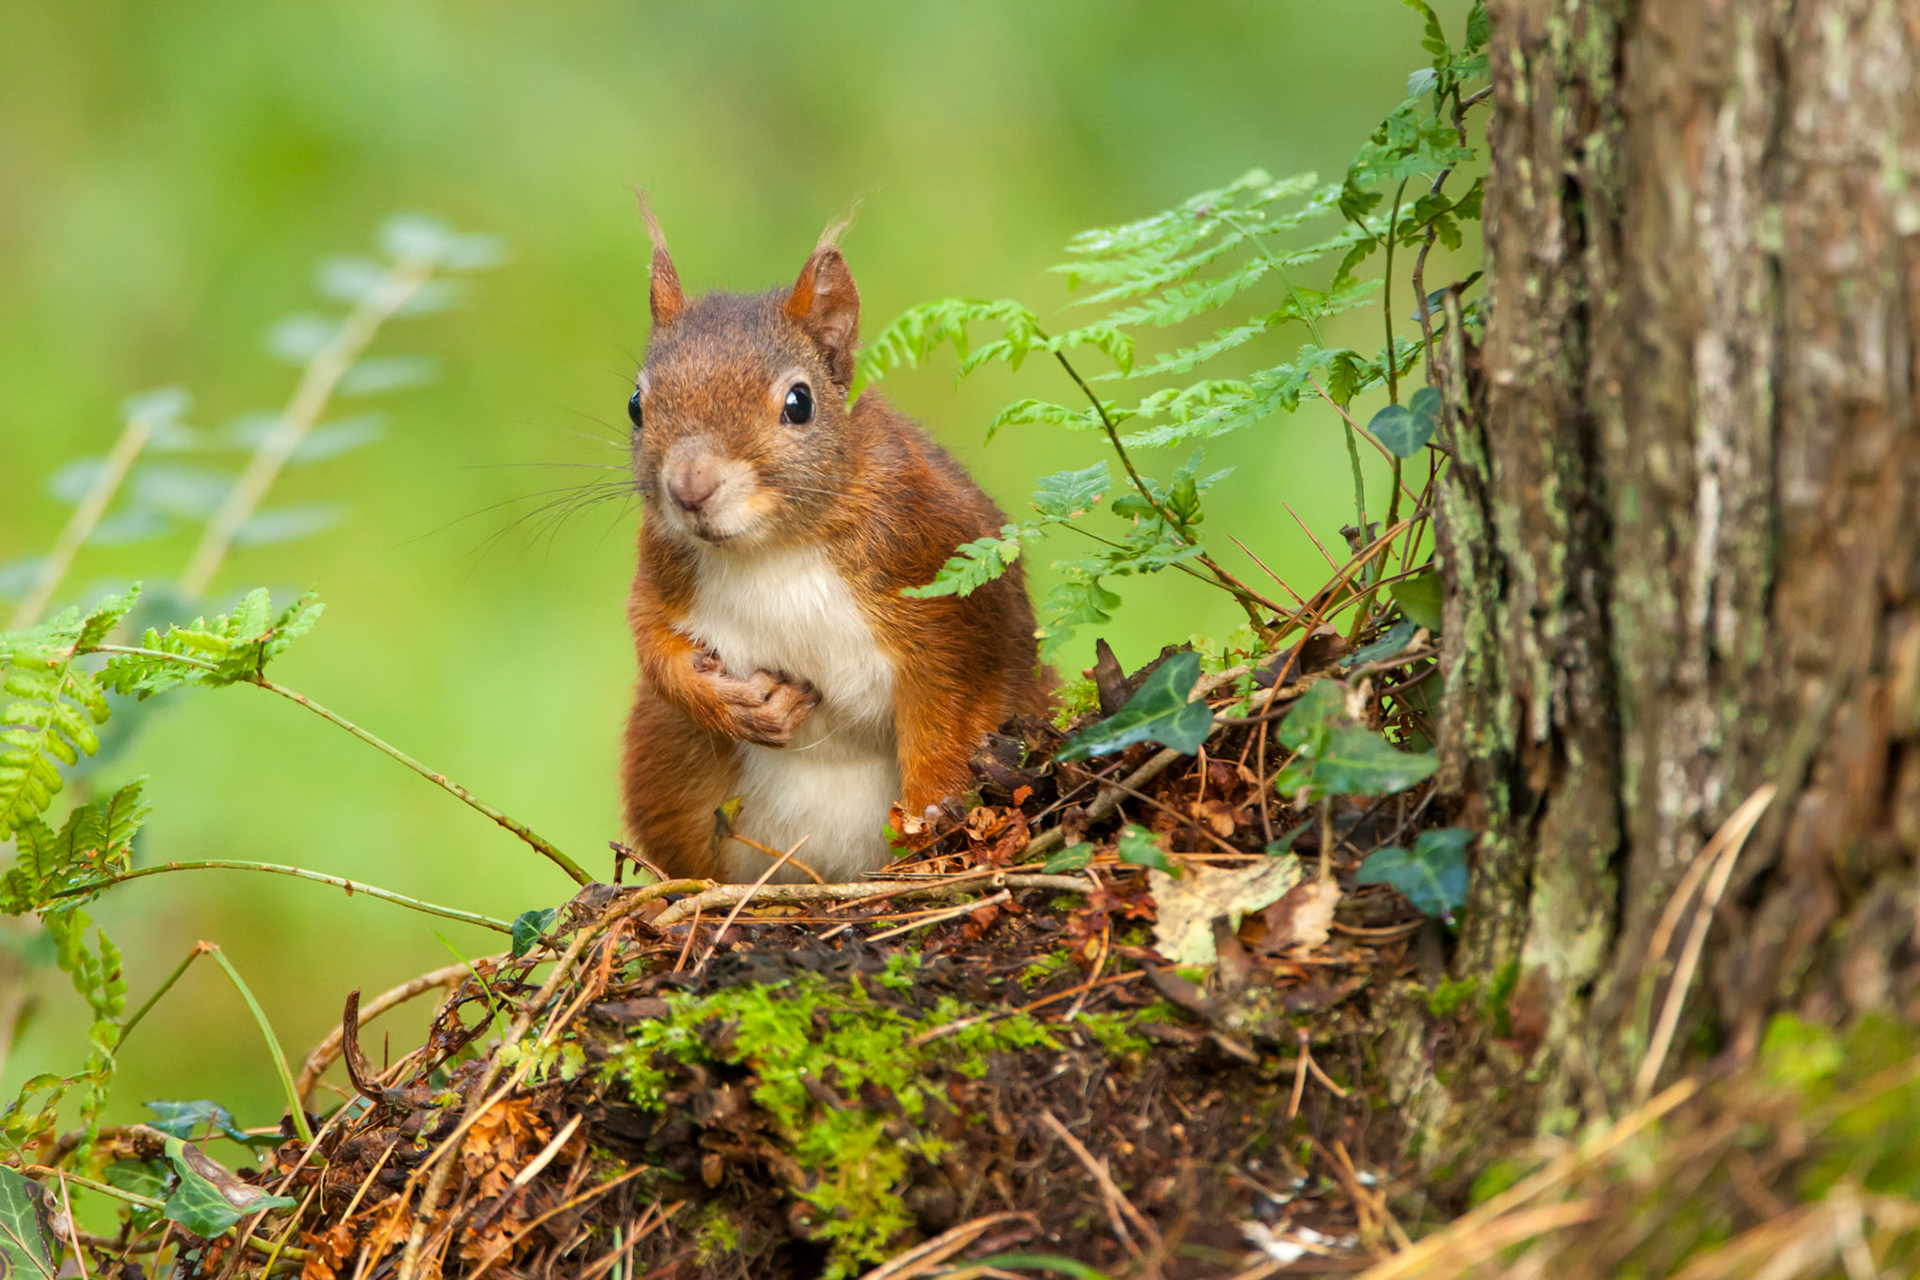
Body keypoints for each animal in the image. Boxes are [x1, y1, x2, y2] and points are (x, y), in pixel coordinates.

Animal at [619, 209, 1053, 884]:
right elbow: (650, 636)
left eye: (799, 403)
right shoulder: (664, 567)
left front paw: (932, 817)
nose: (690, 487)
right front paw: (728, 703)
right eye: (637, 404)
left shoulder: (943, 577)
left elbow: (950, 709)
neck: (771, 549)